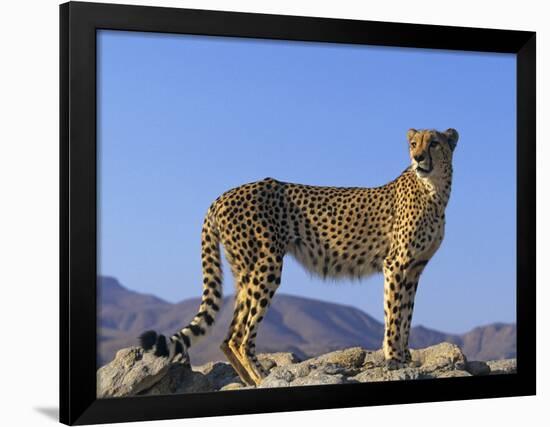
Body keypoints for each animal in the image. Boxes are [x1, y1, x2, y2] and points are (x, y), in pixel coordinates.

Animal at [139, 128, 462, 388]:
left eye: (434, 143)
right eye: (413, 143)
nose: (418, 158)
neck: (434, 190)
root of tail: (223, 195)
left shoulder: (414, 268)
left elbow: (406, 314)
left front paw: (405, 357)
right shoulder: (396, 265)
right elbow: (394, 314)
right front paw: (394, 359)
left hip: (245, 271)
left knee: (228, 334)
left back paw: (249, 380)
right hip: (266, 265)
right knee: (240, 336)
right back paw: (262, 378)